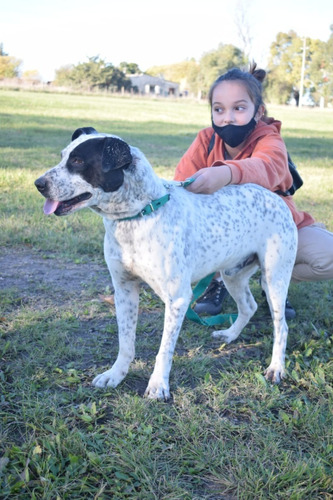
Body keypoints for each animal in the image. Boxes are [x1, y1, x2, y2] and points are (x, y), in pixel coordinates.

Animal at [35, 127, 296, 400]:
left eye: (78, 161)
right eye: (63, 156)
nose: (38, 184)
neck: (139, 215)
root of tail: (276, 198)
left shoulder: (178, 299)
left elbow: (164, 350)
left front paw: (158, 384)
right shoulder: (124, 290)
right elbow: (125, 342)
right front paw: (116, 374)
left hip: (275, 280)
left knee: (281, 327)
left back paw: (276, 368)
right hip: (232, 275)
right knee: (249, 306)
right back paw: (230, 335)